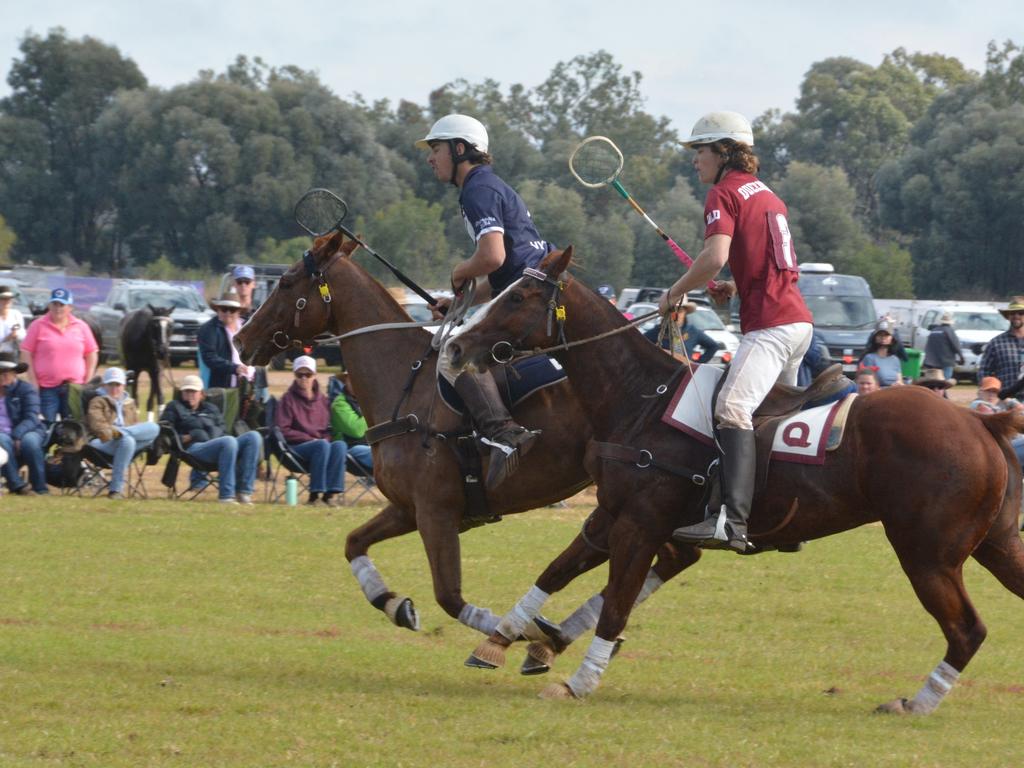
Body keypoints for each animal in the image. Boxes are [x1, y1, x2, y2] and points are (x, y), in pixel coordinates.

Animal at [229, 228, 700, 663]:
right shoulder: (408, 508)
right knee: (678, 556)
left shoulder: (436, 512)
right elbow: (353, 543)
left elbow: (449, 596)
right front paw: (395, 605)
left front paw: (513, 632)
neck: (404, 383)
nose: (240, 340)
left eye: (286, 282)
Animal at [446, 247, 1024, 716]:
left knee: (967, 630)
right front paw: (502, 636)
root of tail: (982, 421)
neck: (640, 396)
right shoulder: (612, 513)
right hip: (995, 544)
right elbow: (557, 571)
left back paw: (916, 703)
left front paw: (577, 683)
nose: (455, 347)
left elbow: (616, 604)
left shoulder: (640, 524)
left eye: (520, 295)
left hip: (927, 554)